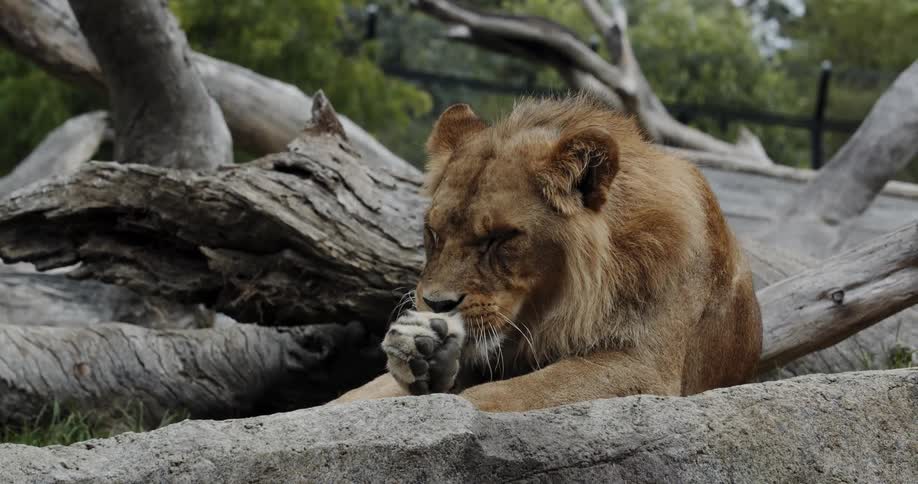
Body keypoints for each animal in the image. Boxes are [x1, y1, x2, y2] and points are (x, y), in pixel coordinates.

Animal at [333, 95, 762, 412]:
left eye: (501, 238)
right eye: (433, 233)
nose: (436, 305)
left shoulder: (646, 366)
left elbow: (501, 395)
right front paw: (421, 353)